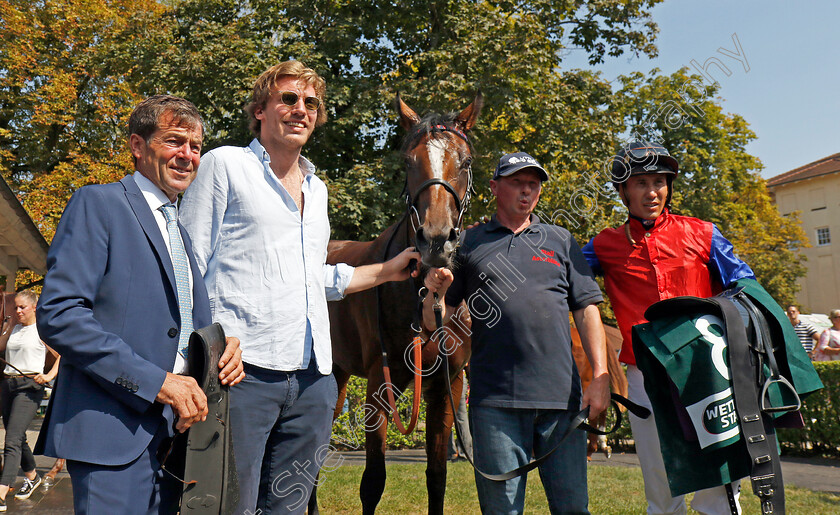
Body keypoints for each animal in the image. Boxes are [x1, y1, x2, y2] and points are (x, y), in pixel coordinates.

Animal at [322, 94, 480, 512]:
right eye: (409, 161)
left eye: (466, 161)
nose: (436, 240)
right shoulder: (381, 385)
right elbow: (373, 481)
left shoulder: (447, 385)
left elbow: (437, 476)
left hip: (338, 376)